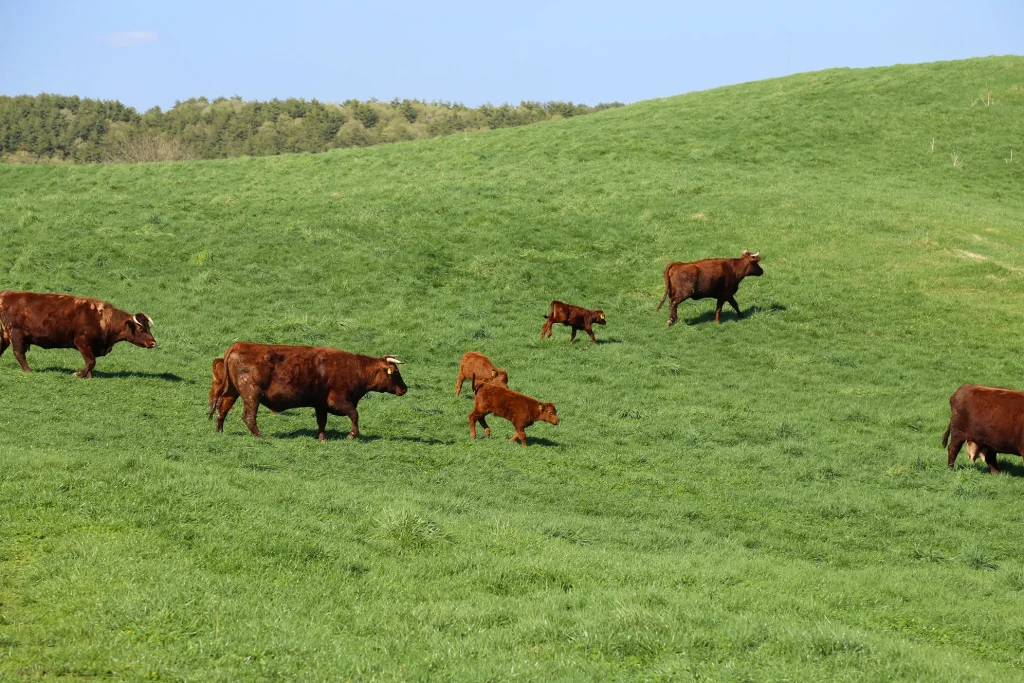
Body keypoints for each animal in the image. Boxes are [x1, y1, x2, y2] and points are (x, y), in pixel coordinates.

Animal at [0, 290, 155, 378]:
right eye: (141, 329)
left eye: (148, 327)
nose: (153, 342)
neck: (103, 318)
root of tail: (6, 294)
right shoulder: (82, 342)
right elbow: (91, 361)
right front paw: (79, 374)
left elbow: (90, 362)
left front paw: (88, 377)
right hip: (16, 335)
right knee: (19, 353)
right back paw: (29, 371)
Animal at [212, 342, 407, 444]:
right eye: (396, 373)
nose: (404, 389)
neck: (355, 368)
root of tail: (239, 345)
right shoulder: (338, 399)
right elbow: (354, 414)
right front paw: (352, 435)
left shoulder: (320, 404)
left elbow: (322, 422)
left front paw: (322, 438)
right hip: (252, 394)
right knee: (248, 416)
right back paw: (260, 436)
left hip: (233, 391)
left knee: (222, 409)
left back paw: (220, 431)